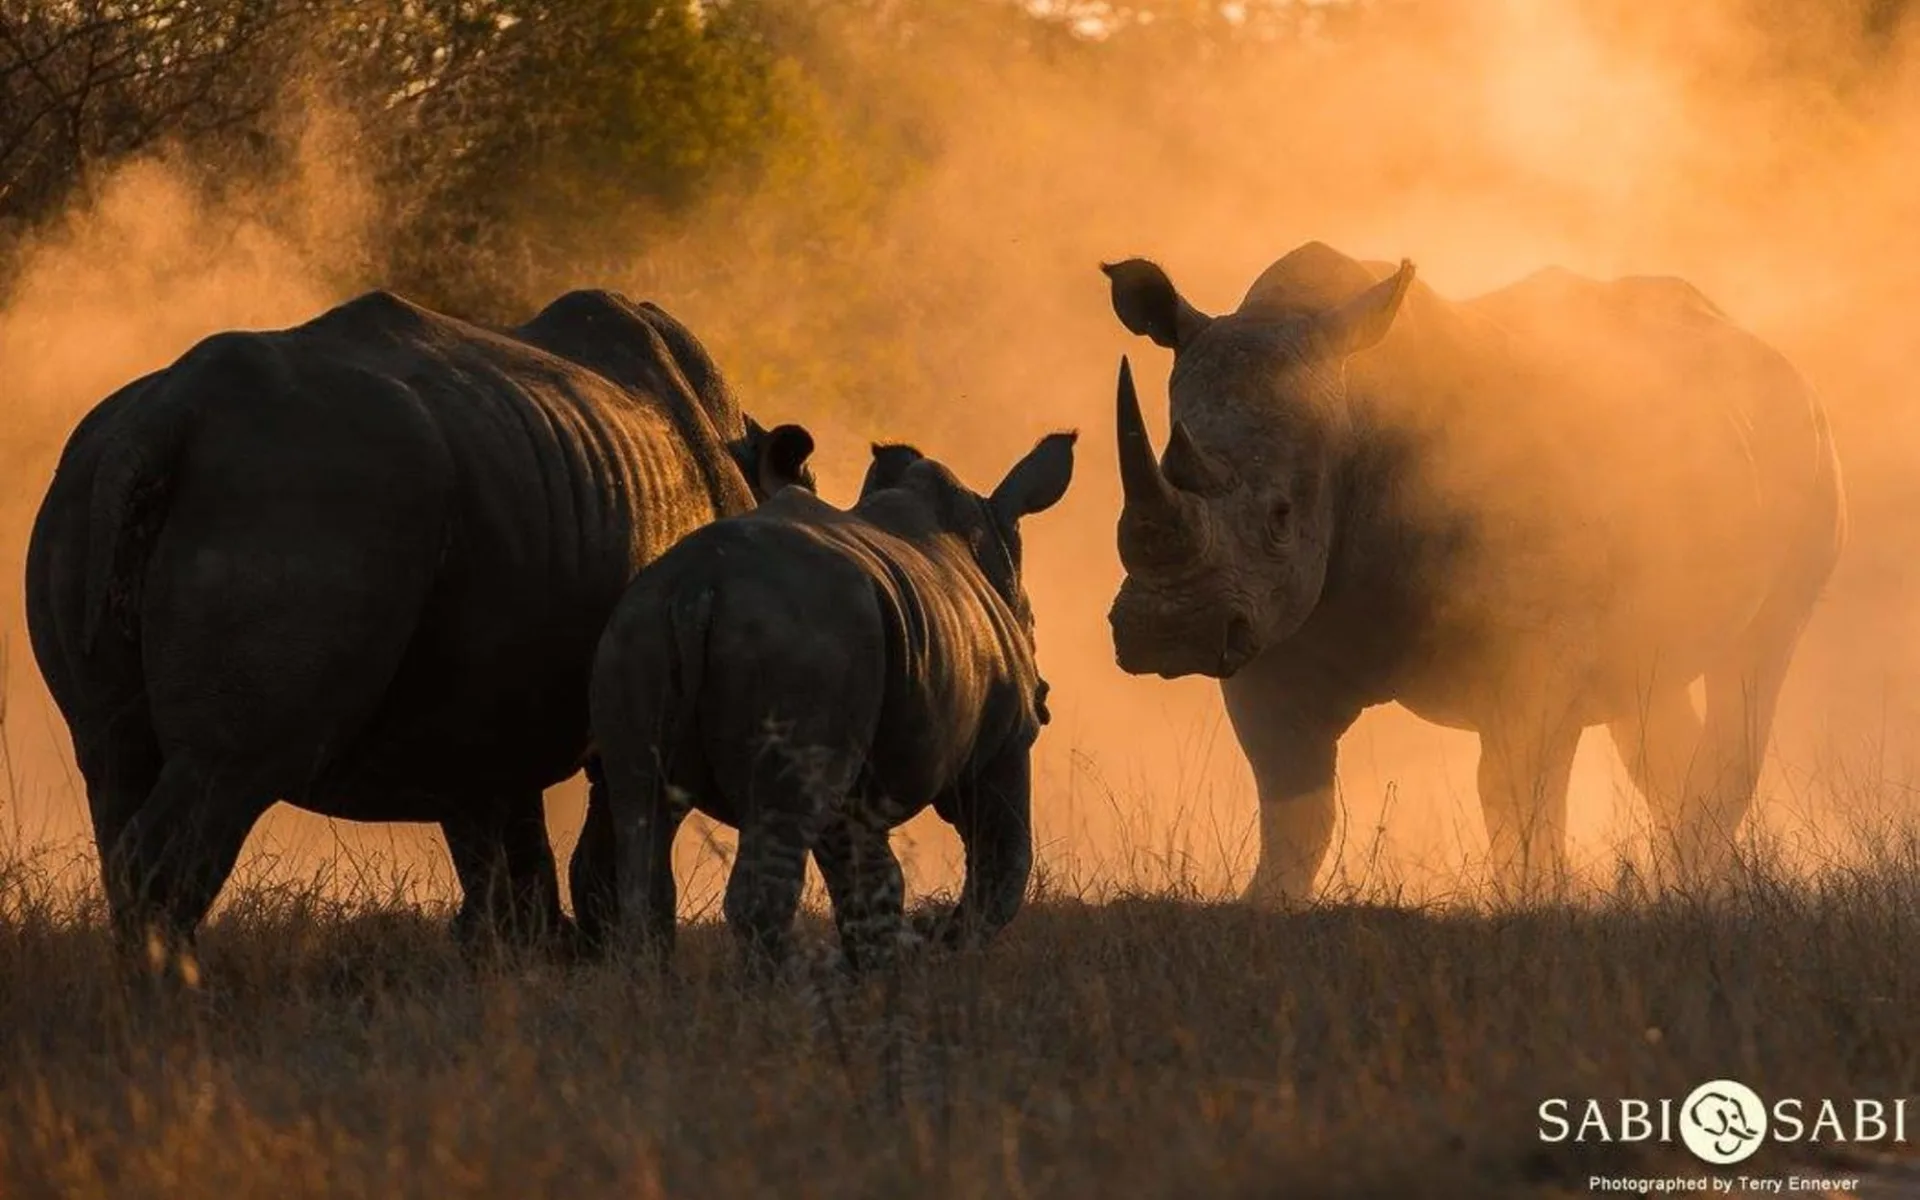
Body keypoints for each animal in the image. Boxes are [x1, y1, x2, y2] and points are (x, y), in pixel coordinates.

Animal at [26, 289, 814, 956]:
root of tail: (165, 420)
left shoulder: (480, 700)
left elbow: (501, 845)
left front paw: (526, 961)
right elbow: (601, 841)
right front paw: (599, 957)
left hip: (85, 487)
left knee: (111, 758)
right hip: (303, 497)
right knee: (228, 767)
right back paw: (180, 1007)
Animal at [591, 435, 1075, 967]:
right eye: (1033, 624)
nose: (1044, 696)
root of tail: (697, 586)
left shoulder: (857, 771)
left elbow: (870, 880)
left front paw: (885, 962)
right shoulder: (1003, 748)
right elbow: (1002, 857)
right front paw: (945, 949)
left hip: (635, 630)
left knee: (641, 814)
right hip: (795, 642)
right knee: (774, 824)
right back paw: (786, 981)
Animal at [1113, 240, 1843, 898]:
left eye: (1282, 516)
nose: (1168, 633)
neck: (1354, 405)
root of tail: (1779, 360)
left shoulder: (1533, 640)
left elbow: (1513, 789)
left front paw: (1533, 906)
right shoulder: (1274, 629)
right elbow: (1294, 807)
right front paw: (1266, 908)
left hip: (1809, 457)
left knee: (1754, 662)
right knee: (1650, 694)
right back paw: (1691, 889)